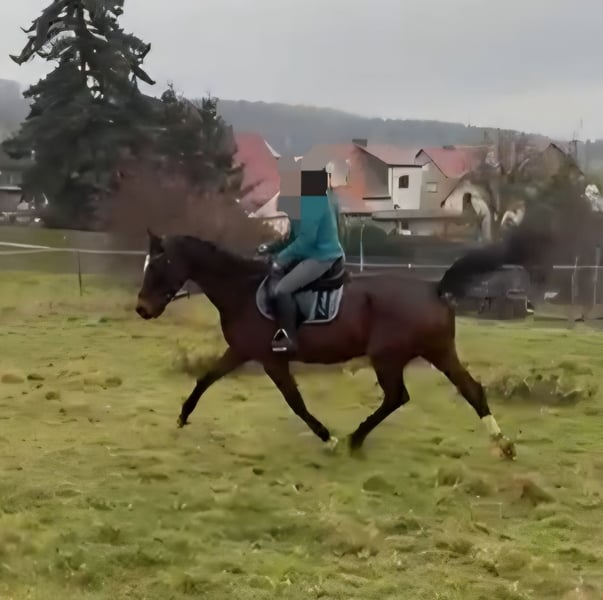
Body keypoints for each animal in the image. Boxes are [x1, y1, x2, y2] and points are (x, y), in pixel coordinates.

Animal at [135, 225, 553, 460]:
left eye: (159, 265)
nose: (142, 308)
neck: (242, 290)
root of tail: (434, 289)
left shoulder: (270, 359)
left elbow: (296, 402)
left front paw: (328, 438)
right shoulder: (241, 351)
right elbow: (206, 378)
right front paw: (183, 416)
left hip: (388, 357)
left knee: (397, 397)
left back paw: (354, 438)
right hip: (438, 352)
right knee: (471, 390)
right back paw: (503, 444)